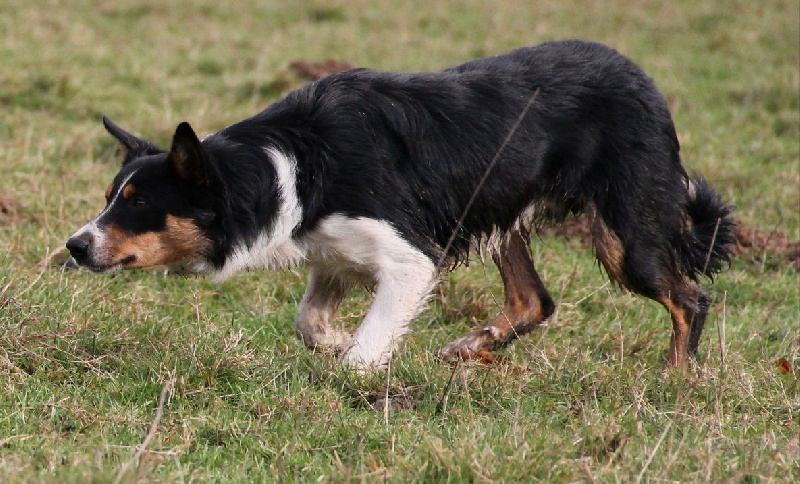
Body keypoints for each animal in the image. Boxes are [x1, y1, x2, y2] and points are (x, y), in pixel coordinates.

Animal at [65, 39, 736, 368]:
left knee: (689, 299)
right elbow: (310, 323)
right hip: (497, 211)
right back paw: (470, 347)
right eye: (110, 198)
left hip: (626, 234)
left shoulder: (411, 257)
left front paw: (355, 368)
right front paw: (338, 343)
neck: (295, 168)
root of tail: (645, 81)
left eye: (137, 204)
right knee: (534, 299)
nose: (73, 246)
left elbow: (363, 349)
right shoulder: (334, 256)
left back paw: (673, 382)